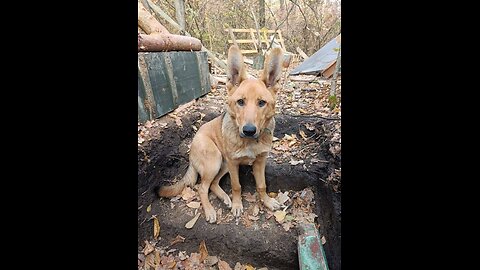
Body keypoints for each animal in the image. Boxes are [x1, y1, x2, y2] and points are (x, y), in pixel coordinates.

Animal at [159, 45, 284, 223]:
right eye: (240, 102)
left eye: (262, 103)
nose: (249, 131)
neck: (249, 143)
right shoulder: (233, 164)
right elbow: (236, 186)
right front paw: (238, 205)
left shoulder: (260, 162)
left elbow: (262, 185)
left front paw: (267, 201)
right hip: (216, 160)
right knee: (202, 188)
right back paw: (210, 210)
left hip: (223, 164)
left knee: (212, 184)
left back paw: (225, 197)